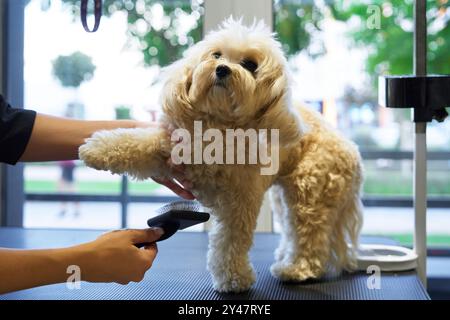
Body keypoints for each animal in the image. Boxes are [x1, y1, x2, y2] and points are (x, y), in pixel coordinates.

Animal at [79, 17, 364, 292]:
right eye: (216, 55)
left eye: (250, 64)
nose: (222, 69)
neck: (219, 127)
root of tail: (351, 148)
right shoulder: (172, 144)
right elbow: (136, 142)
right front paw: (96, 149)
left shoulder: (240, 202)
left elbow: (231, 243)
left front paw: (234, 279)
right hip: (284, 197)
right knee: (292, 229)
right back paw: (286, 255)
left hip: (310, 194)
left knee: (309, 235)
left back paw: (296, 269)